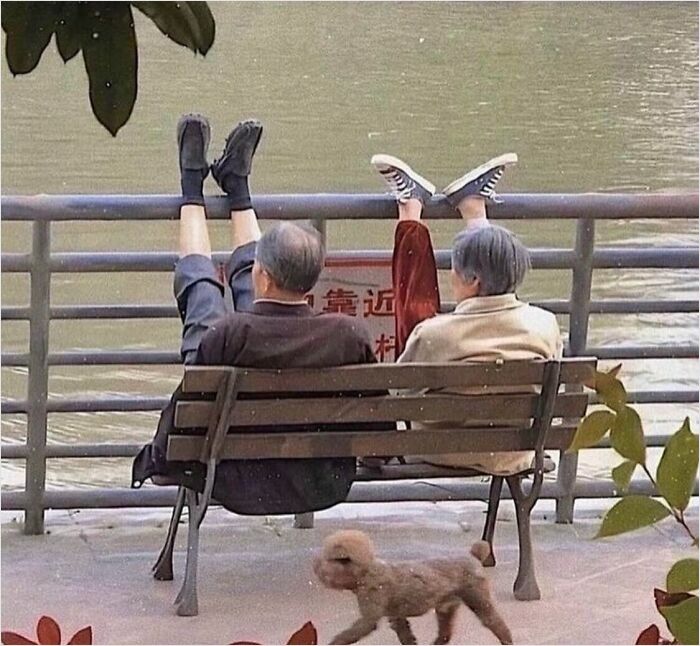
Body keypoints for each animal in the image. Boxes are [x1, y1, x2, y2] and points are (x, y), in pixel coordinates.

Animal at [314, 536, 512, 644]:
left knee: (496, 623)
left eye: (328, 560)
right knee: (445, 634)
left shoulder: (371, 605)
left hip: (477, 598)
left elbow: (356, 630)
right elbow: (405, 634)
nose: (316, 567)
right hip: (446, 607)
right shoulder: (396, 616)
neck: (366, 571)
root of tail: (472, 556)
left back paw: (507, 639)